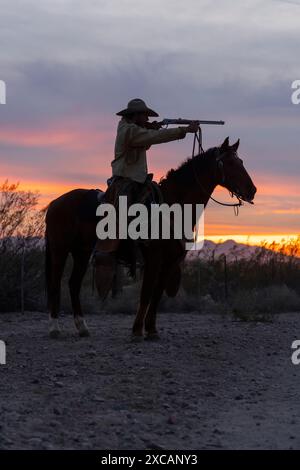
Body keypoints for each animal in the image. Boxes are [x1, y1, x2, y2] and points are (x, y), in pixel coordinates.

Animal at [45, 138, 256, 340]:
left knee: (73, 284)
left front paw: (152, 330)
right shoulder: (154, 258)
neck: (173, 206)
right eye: (230, 163)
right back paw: (55, 329)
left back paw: (82, 327)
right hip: (59, 250)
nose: (252, 190)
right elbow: (146, 293)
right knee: (55, 284)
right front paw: (137, 331)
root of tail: (55, 203)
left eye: (241, 162)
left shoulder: (169, 261)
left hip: (81, 252)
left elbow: (157, 294)